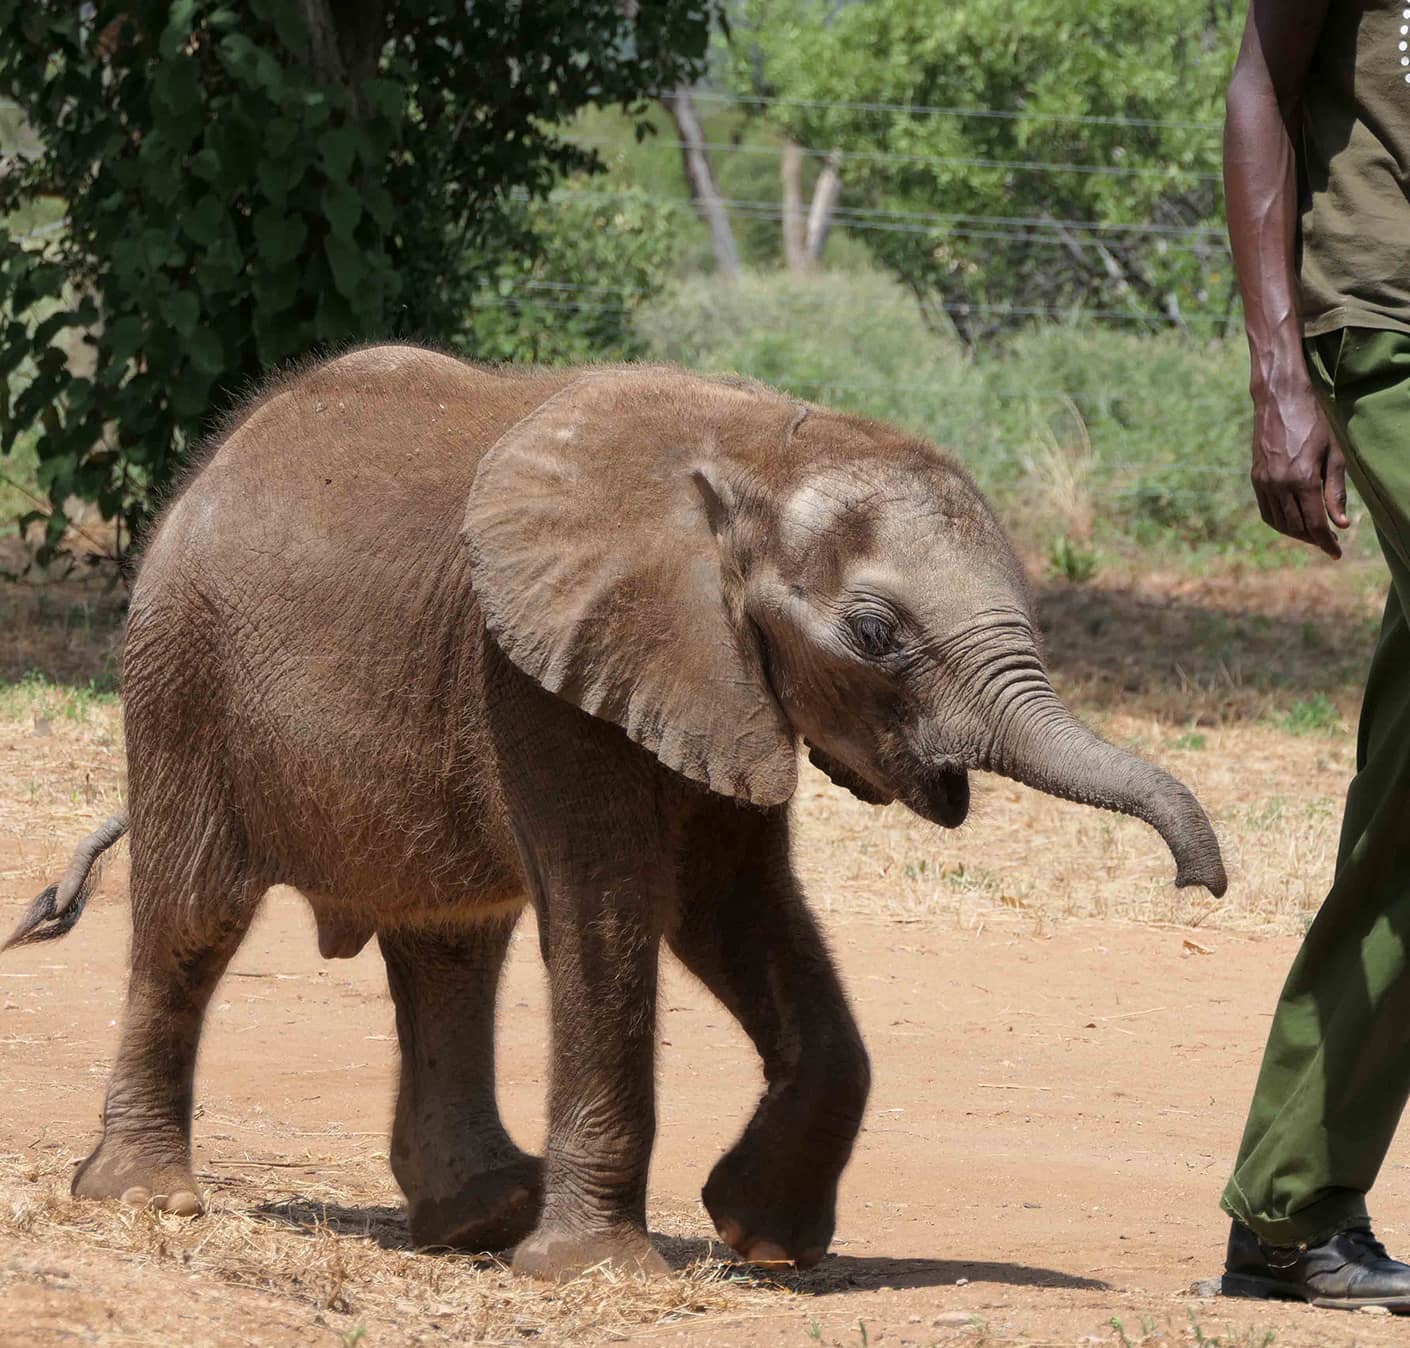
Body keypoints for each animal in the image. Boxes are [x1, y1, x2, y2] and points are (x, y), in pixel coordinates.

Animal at [4, 346, 1226, 1282]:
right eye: (876, 633)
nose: (1201, 883)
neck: (758, 452)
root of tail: (222, 452)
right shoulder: (539, 676)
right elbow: (613, 913)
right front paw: (596, 1273)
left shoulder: (717, 678)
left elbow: (736, 910)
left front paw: (761, 1241)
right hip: (180, 672)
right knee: (195, 916)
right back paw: (143, 1202)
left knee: (450, 949)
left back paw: (482, 1218)